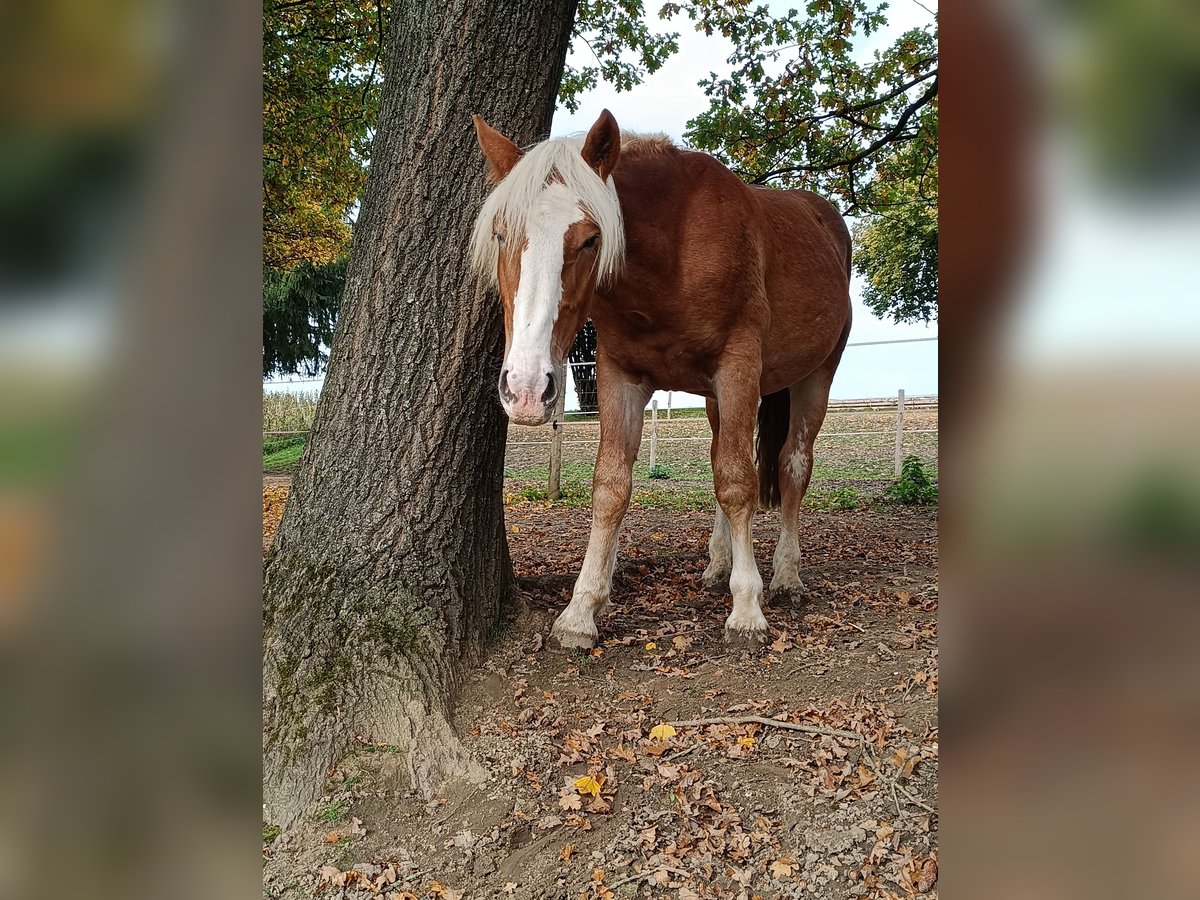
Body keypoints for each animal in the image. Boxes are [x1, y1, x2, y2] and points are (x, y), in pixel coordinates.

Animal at [470, 109, 854, 652]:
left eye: (590, 239)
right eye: (502, 234)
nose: (526, 390)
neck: (673, 251)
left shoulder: (738, 367)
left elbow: (738, 481)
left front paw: (747, 609)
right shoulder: (620, 376)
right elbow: (611, 485)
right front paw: (581, 611)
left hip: (814, 377)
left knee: (791, 467)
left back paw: (785, 576)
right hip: (717, 399)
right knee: (723, 458)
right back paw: (718, 566)